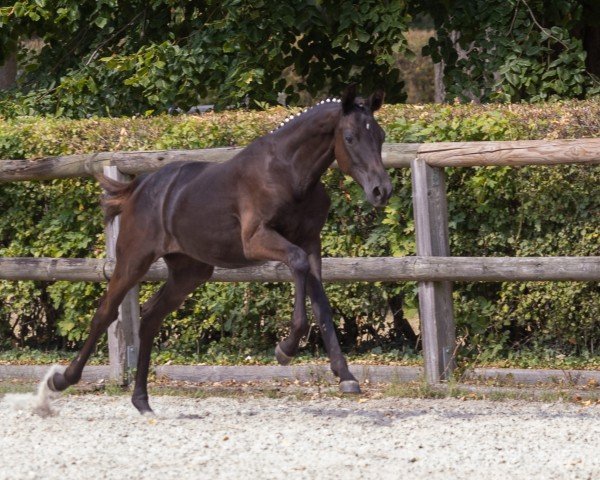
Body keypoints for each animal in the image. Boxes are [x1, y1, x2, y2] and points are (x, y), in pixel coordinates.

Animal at [48, 84, 394, 414]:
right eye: (349, 137)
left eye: (380, 135)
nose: (382, 191)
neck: (289, 173)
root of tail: (139, 187)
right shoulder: (257, 240)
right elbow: (297, 265)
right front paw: (286, 348)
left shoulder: (311, 242)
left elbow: (321, 302)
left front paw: (345, 376)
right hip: (133, 259)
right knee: (106, 312)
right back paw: (62, 379)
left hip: (189, 272)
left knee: (150, 317)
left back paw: (142, 400)